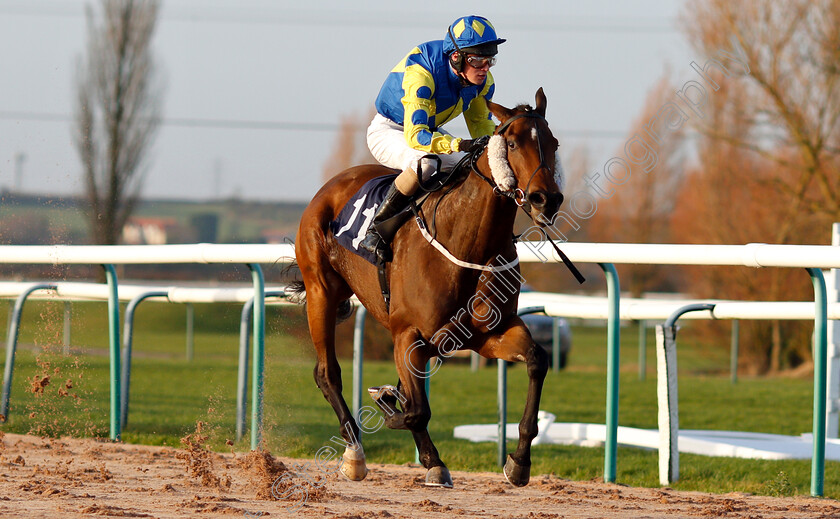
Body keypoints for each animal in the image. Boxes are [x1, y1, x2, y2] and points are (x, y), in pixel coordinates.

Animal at [288, 87, 564, 490]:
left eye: (553, 142)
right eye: (511, 143)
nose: (548, 199)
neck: (467, 243)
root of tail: (332, 186)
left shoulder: (488, 333)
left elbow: (537, 360)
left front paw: (519, 461)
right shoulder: (408, 333)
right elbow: (416, 410)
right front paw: (389, 403)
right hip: (321, 291)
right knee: (328, 373)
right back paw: (355, 455)